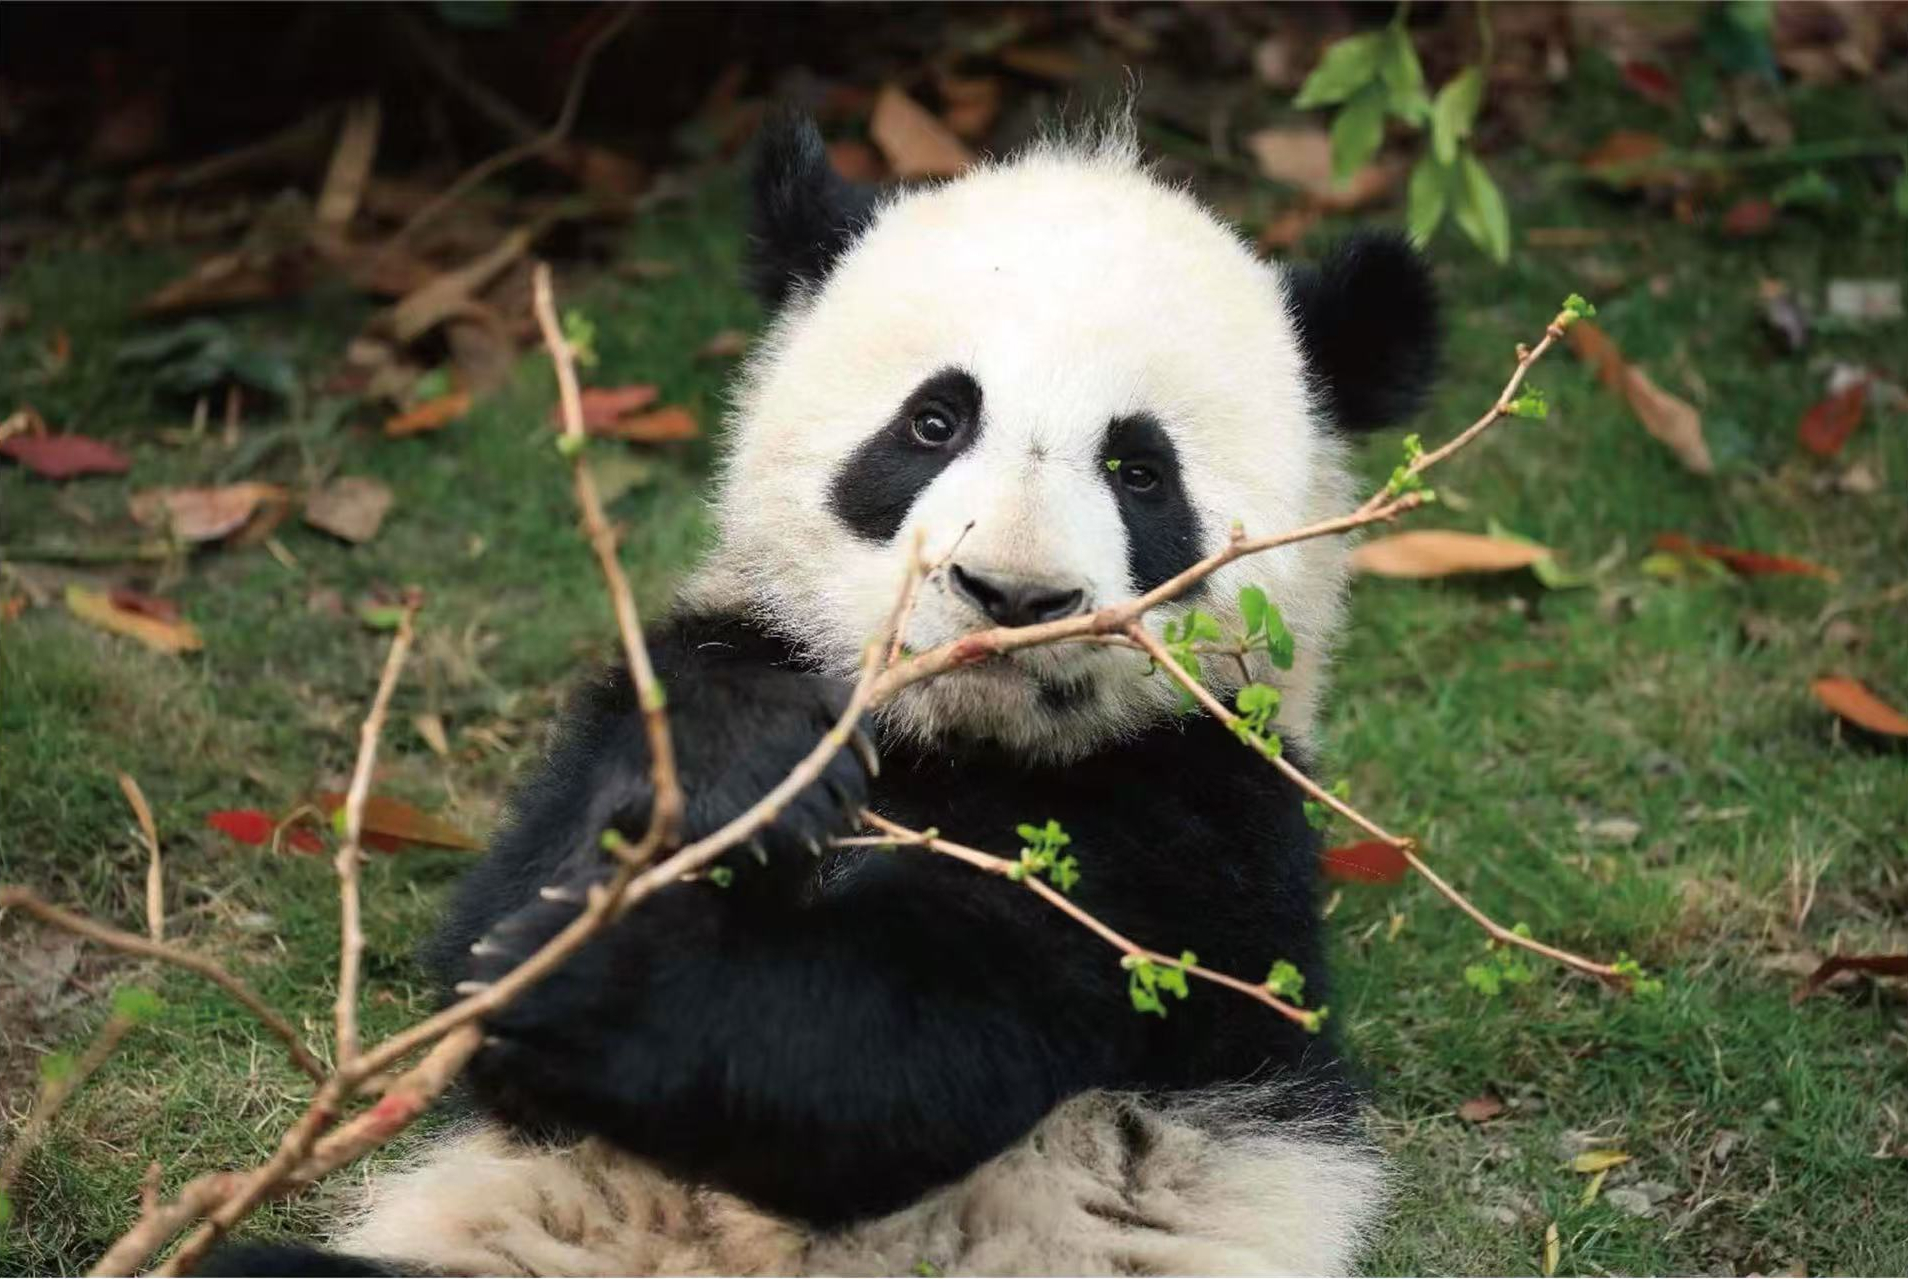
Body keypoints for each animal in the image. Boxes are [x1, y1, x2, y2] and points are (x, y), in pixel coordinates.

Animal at [205, 109, 1438, 1277]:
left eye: (1141, 473)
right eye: (934, 422)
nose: (1011, 593)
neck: (953, 740)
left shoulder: (1194, 820)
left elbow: (909, 1050)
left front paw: (587, 986)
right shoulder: (703, 651)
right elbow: (494, 928)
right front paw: (743, 772)